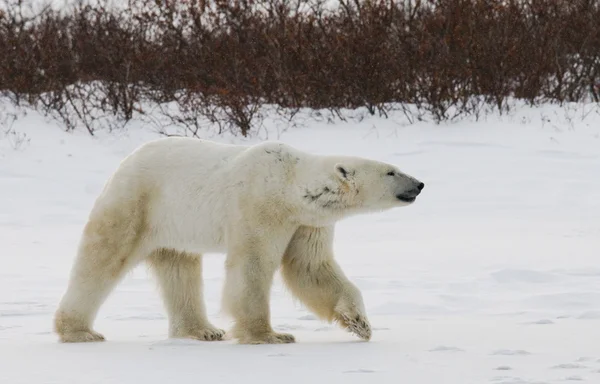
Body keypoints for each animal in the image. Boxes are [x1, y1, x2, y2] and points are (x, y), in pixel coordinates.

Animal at [54, 138, 424, 344]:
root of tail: (126, 160)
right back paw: (79, 331)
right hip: (138, 200)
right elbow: (253, 266)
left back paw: (203, 330)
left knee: (180, 268)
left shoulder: (307, 222)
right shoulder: (260, 206)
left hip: (175, 223)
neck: (291, 184)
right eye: (391, 171)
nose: (419, 184)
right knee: (103, 258)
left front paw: (360, 323)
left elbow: (311, 267)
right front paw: (270, 335)